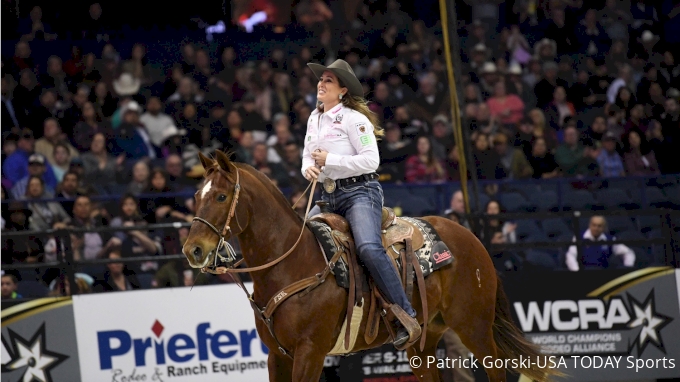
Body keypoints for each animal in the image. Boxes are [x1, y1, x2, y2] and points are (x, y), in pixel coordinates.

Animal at [182, 151, 556, 380]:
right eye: (197, 195)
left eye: (221, 196)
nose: (193, 250)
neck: (293, 265)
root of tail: (470, 237)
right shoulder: (278, 356)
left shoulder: (309, 353)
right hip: (424, 343)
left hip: (474, 327)